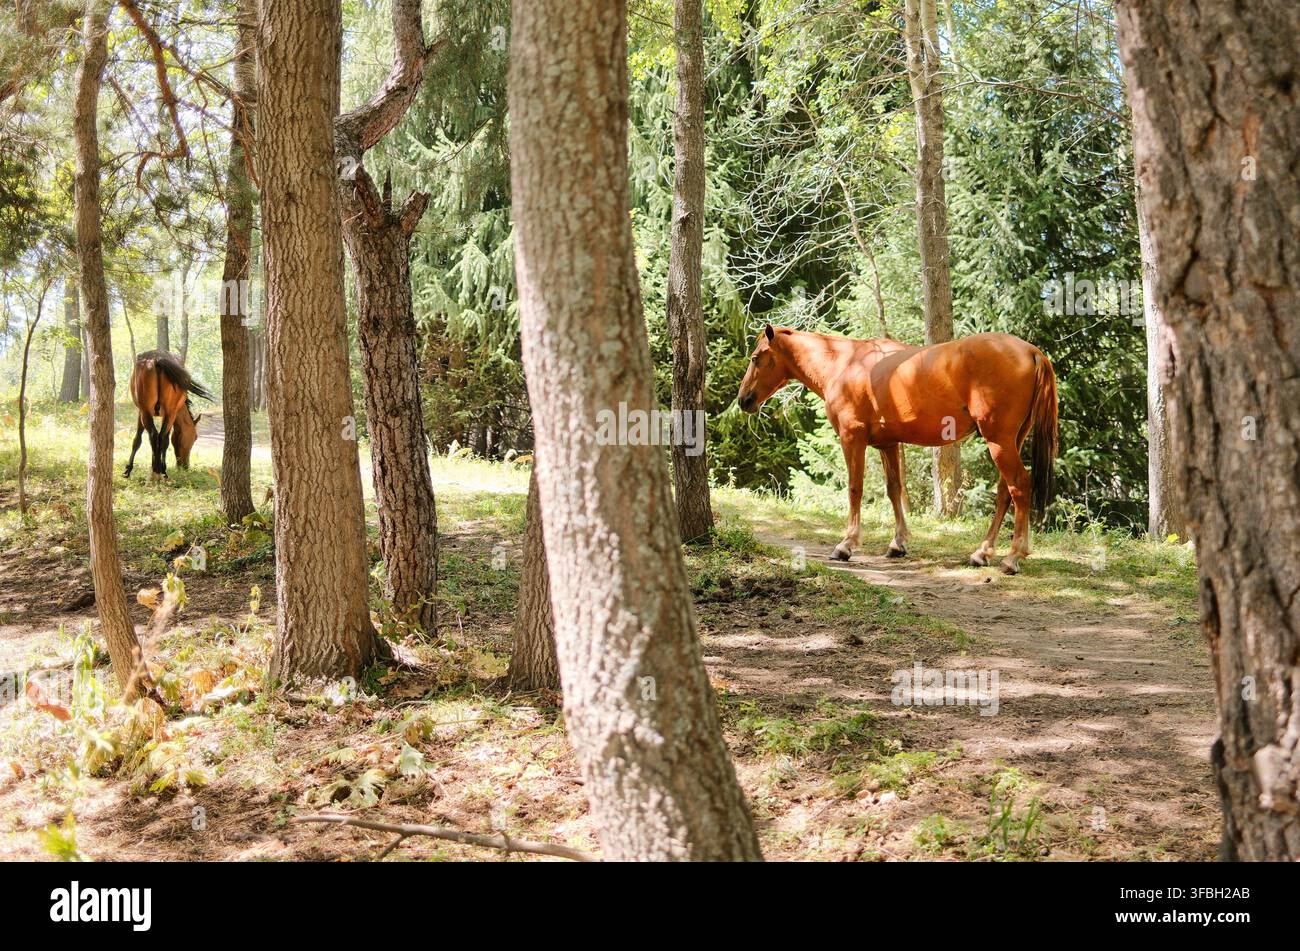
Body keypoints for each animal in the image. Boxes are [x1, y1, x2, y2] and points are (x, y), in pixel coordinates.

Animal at [125, 350, 214, 481]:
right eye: (195, 437)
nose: (185, 466)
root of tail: (156, 359)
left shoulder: (144, 412)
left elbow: (140, 440)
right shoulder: (170, 414)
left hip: (149, 412)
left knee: (155, 436)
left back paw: (156, 470)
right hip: (163, 413)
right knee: (158, 437)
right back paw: (159, 471)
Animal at [737, 325, 1058, 574]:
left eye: (756, 358)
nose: (743, 400)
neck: (844, 364)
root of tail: (1031, 351)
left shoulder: (852, 438)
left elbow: (855, 488)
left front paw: (846, 545)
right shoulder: (888, 444)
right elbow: (894, 489)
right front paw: (898, 543)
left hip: (999, 441)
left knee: (1019, 486)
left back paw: (1013, 557)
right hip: (1010, 440)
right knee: (1006, 492)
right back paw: (983, 552)